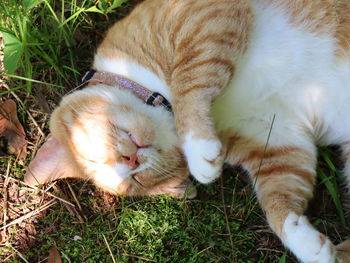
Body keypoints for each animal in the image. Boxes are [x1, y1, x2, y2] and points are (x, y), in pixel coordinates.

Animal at [24, 0, 350, 262]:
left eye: (96, 158)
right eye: (136, 181)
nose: (131, 160)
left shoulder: (201, 18)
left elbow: (189, 79)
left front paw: (198, 146)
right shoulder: (277, 140)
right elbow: (278, 199)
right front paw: (307, 243)